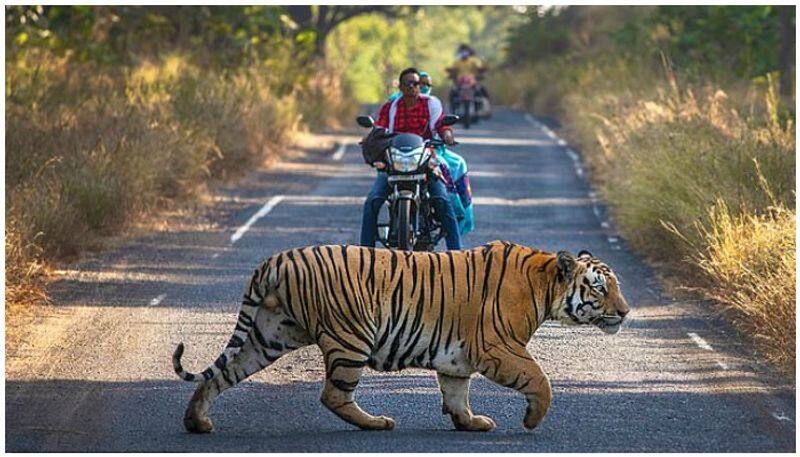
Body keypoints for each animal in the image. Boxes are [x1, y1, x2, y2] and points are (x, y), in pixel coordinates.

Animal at [175, 240, 632, 432]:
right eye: (600, 287)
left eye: (616, 284)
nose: (626, 312)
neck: (544, 284)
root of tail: (276, 260)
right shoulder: (498, 347)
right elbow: (540, 379)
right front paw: (532, 419)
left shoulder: (458, 357)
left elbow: (456, 392)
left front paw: (469, 423)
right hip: (351, 336)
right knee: (334, 394)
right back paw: (377, 423)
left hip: (270, 335)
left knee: (222, 374)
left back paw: (197, 422)